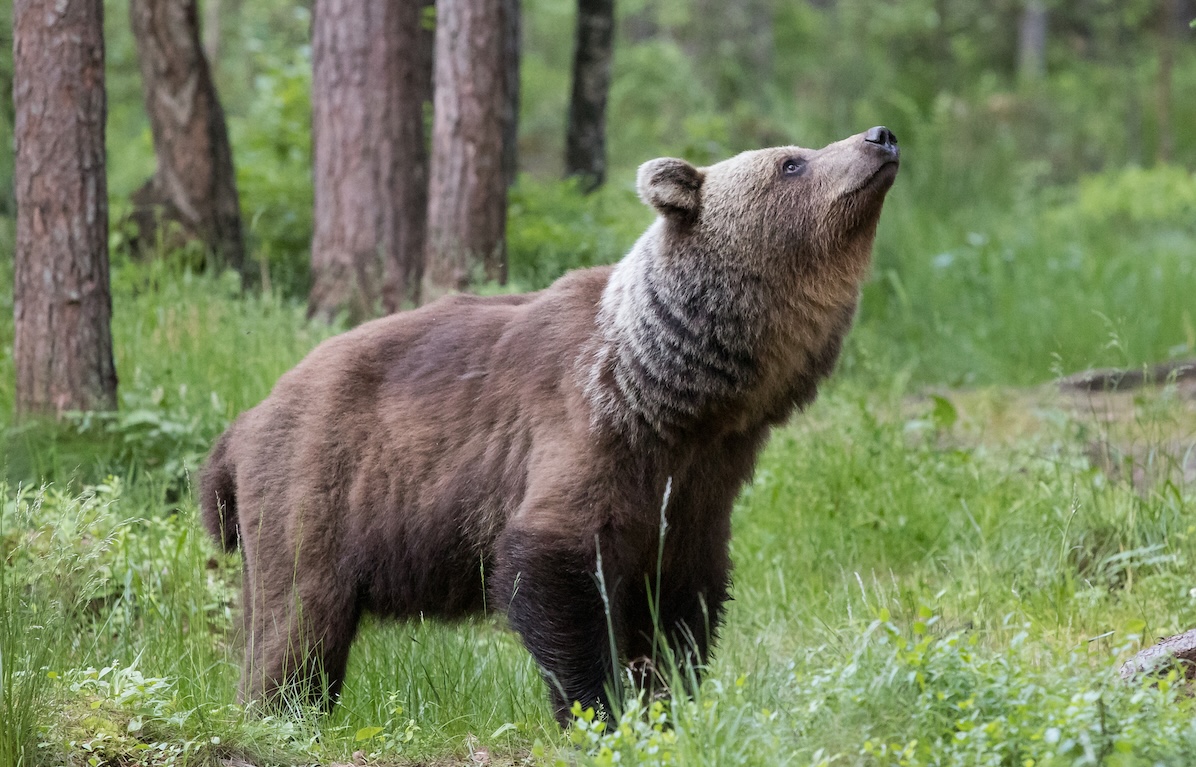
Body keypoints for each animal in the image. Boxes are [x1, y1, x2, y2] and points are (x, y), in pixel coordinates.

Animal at [200, 126, 900, 725]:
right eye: (792, 162)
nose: (880, 137)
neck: (675, 396)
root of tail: (242, 423)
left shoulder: (700, 486)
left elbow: (682, 600)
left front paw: (667, 701)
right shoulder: (582, 434)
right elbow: (552, 570)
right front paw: (600, 710)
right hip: (320, 485)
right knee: (298, 623)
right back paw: (282, 714)